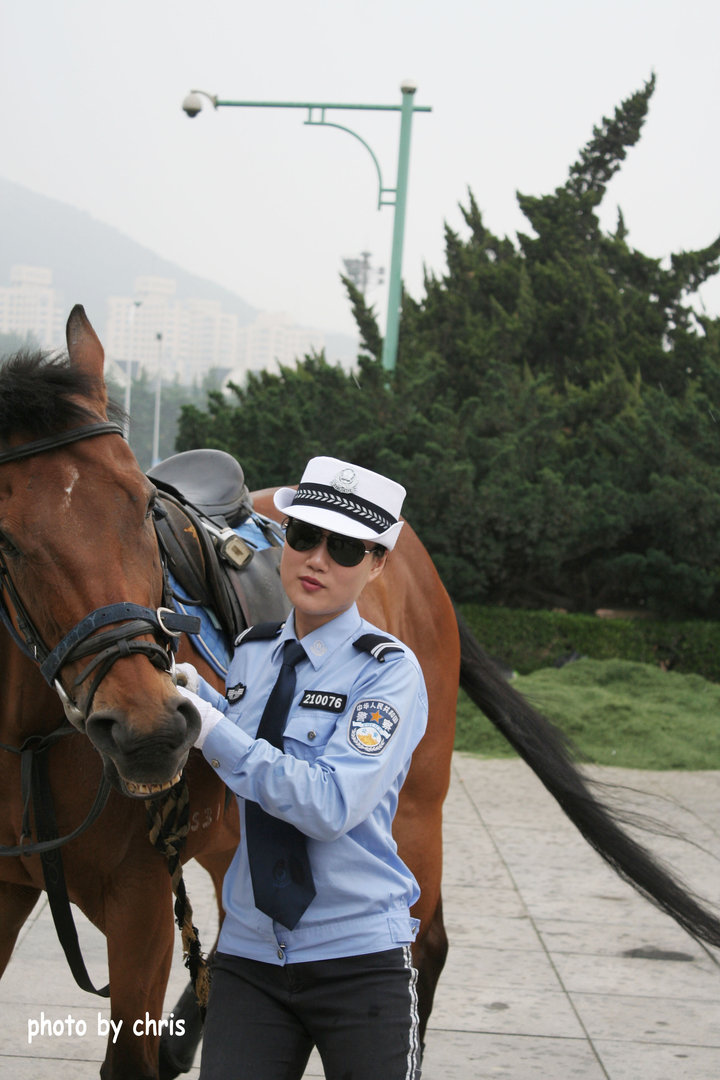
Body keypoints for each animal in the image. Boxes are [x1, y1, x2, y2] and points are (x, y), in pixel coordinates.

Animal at [4, 306, 720, 1080]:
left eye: (142, 507)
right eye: (6, 540)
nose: (151, 731)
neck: (29, 741)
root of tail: (417, 557)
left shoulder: (139, 902)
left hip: (415, 811)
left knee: (421, 941)